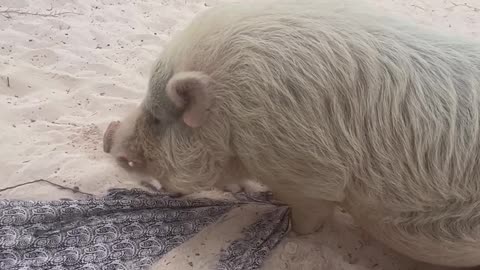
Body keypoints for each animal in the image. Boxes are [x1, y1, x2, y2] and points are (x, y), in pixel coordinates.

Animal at [103, 0, 480, 266]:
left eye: (157, 118)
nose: (109, 139)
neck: (231, 112)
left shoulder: (310, 176)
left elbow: (308, 216)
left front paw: (290, 230)